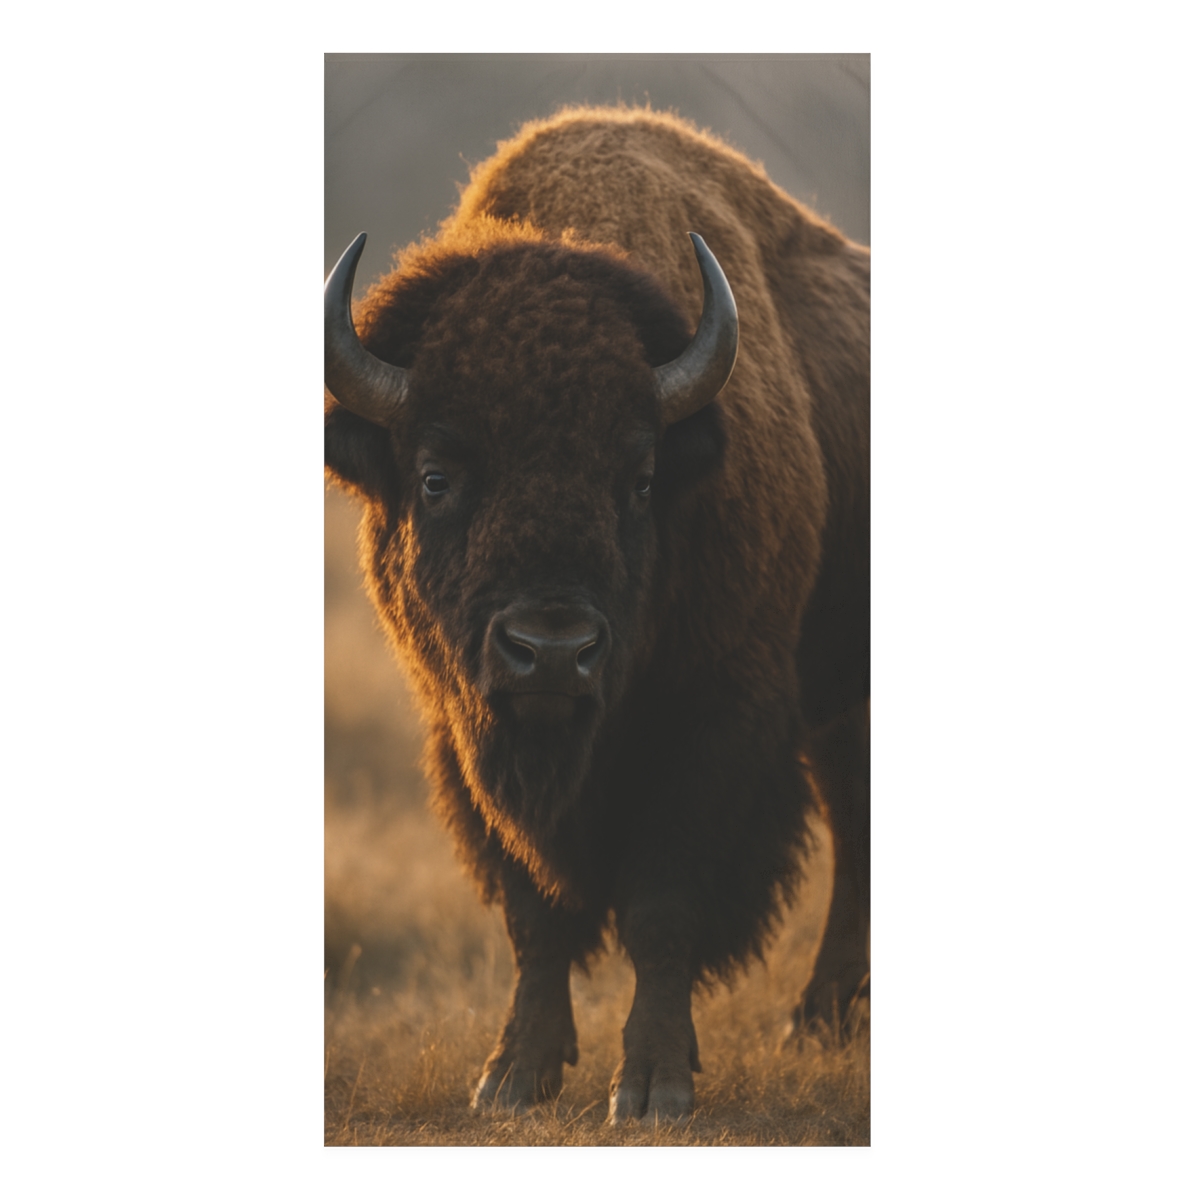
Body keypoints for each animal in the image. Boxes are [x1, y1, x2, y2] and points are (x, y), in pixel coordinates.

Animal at [324, 106, 869, 1121]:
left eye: (640, 479)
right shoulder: (467, 738)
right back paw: (818, 1023)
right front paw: (511, 1080)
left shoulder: (715, 727)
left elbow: (662, 906)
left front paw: (652, 1089)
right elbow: (535, 918)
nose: (551, 652)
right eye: (436, 476)